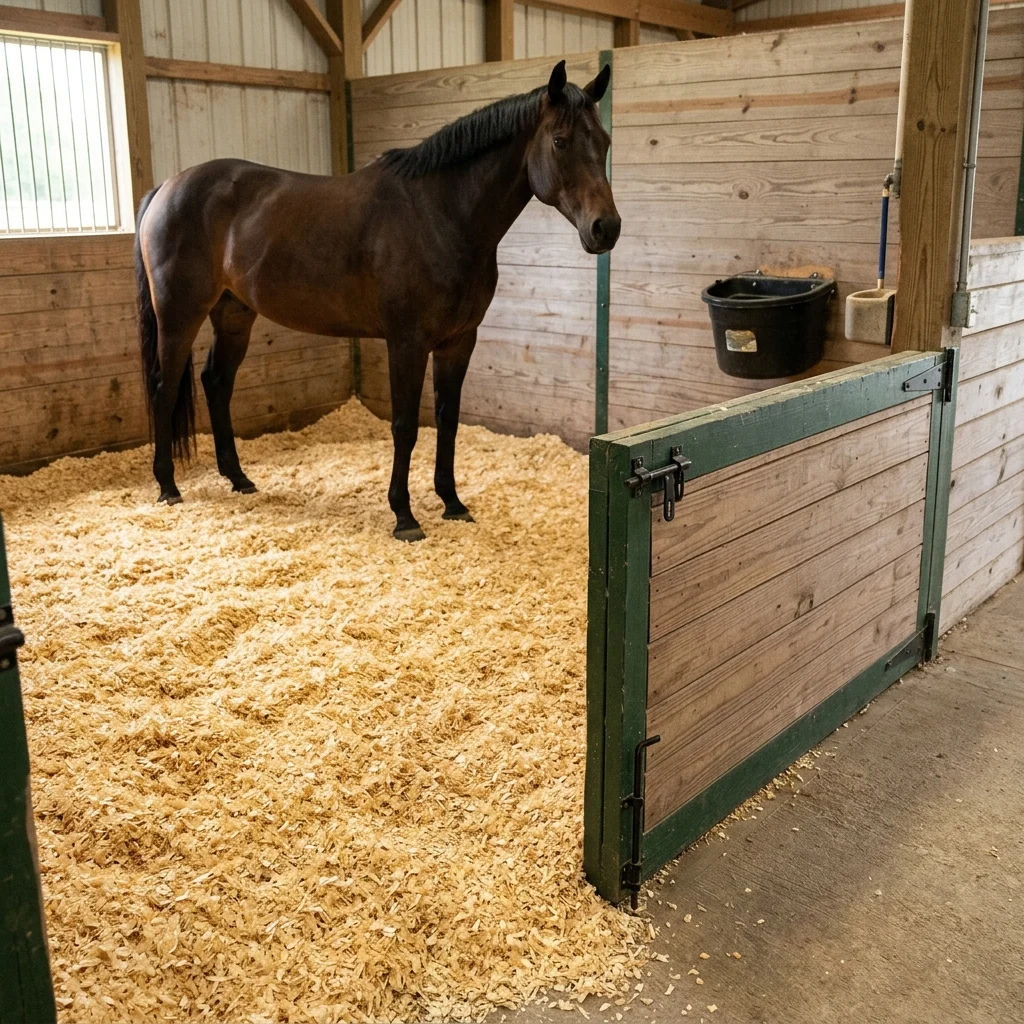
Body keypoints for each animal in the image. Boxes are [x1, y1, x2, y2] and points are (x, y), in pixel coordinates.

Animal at [134, 60, 620, 541]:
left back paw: (238, 478)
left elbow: (447, 420)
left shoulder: (459, 342)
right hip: (179, 315)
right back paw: (168, 486)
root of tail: (166, 188)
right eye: (559, 141)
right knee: (163, 386)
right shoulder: (406, 342)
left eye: (605, 142)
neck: (440, 214)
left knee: (217, 382)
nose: (606, 228)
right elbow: (405, 426)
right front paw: (404, 516)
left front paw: (452, 502)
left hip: (234, 313)